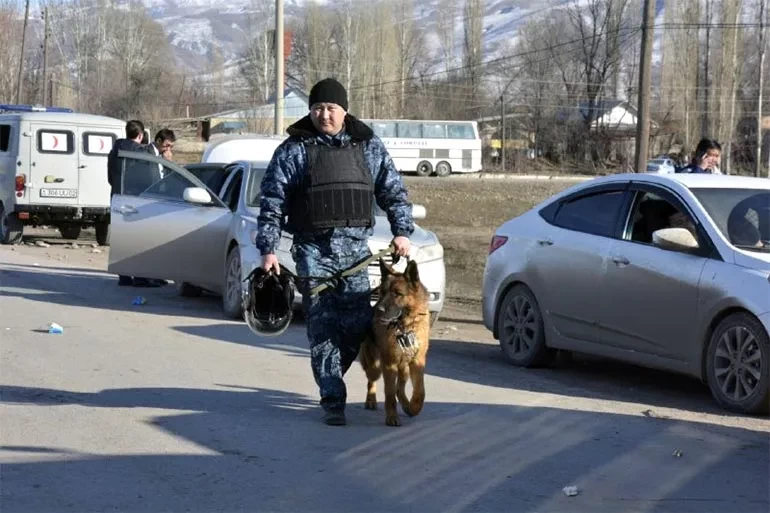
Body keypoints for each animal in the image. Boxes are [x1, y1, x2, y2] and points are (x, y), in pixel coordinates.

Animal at [360, 258, 432, 426]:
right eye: (383, 292)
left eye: (398, 294)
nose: (379, 310)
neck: (405, 327)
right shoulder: (389, 364)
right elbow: (389, 394)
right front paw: (392, 417)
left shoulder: (417, 361)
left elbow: (420, 391)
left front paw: (414, 407)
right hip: (376, 367)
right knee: (371, 380)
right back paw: (371, 400)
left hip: (403, 368)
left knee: (400, 388)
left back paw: (406, 405)